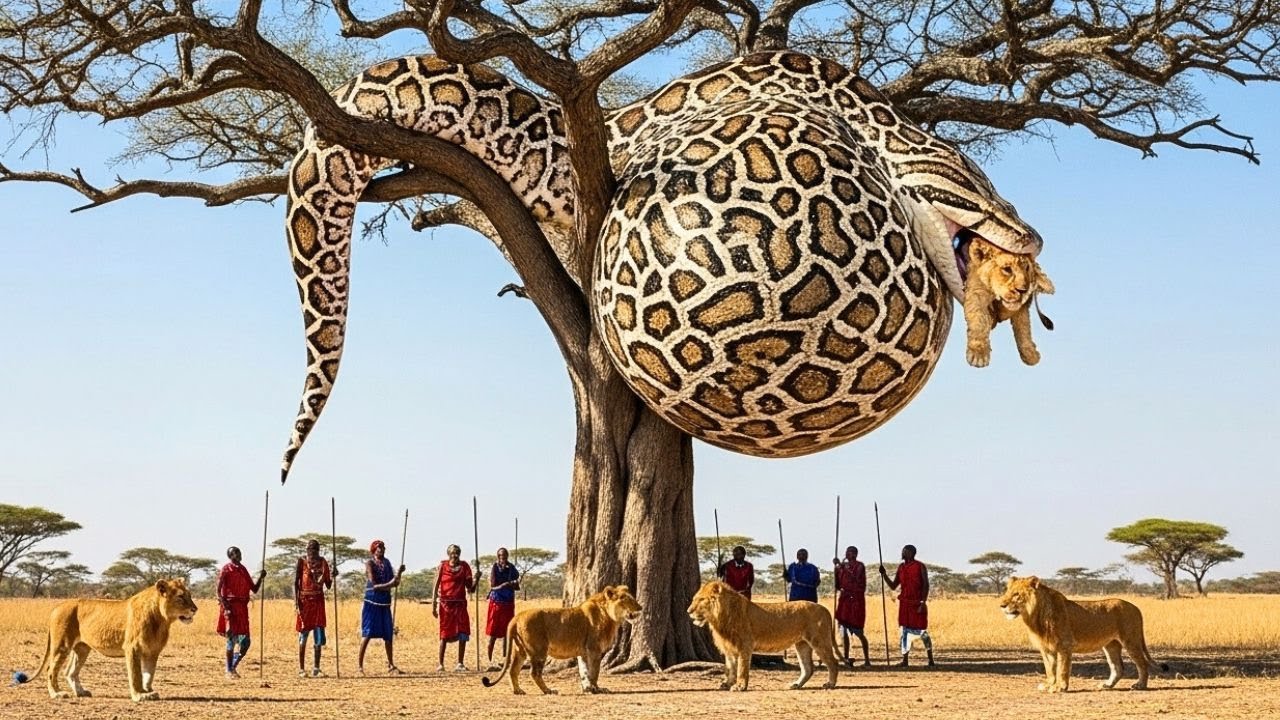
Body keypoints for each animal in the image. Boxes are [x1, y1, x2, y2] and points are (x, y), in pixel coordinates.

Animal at [25, 578, 198, 701]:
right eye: (181, 597)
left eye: (190, 595)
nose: (195, 609)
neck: (161, 620)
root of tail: (56, 607)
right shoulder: (132, 648)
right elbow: (136, 675)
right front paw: (139, 695)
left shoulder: (153, 651)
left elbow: (149, 675)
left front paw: (148, 691)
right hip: (62, 644)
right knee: (51, 670)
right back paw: (57, 694)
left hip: (82, 648)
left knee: (70, 671)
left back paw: (81, 692)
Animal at [481, 585, 641, 695]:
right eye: (626, 599)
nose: (640, 607)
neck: (610, 616)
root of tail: (517, 617)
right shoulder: (594, 649)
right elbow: (594, 672)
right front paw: (596, 688)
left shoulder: (584, 652)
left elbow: (585, 671)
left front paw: (588, 689)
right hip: (539, 650)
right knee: (534, 673)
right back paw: (548, 691)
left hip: (519, 650)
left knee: (513, 670)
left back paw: (518, 691)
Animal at [687, 580, 840, 691]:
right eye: (694, 599)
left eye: (701, 599)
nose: (688, 611)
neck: (720, 617)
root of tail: (825, 609)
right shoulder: (729, 647)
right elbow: (729, 668)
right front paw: (727, 684)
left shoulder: (745, 645)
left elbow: (741, 668)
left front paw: (740, 686)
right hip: (802, 644)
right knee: (808, 668)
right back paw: (796, 684)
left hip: (819, 640)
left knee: (833, 662)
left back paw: (830, 684)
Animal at [961, 235, 1055, 368]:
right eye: (1007, 269)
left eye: (1026, 268)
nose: (1023, 290)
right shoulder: (976, 292)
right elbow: (979, 320)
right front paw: (979, 353)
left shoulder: (1022, 308)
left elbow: (1024, 328)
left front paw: (1030, 353)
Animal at [999, 576, 1167, 693]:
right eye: (1007, 593)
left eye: (1016, 595)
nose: (1002, 605)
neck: (1035, 616)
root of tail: (1136, 608)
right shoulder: (1046, 648)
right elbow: (1050, 669)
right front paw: (1048, 685)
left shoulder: (1064, 646)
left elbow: (1062, 669)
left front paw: (1060, 688)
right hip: (1111, 645)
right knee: (1118, 667)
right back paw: (1107, 685)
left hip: (1131, 640)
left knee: (1142, 664)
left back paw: (1140, 685)